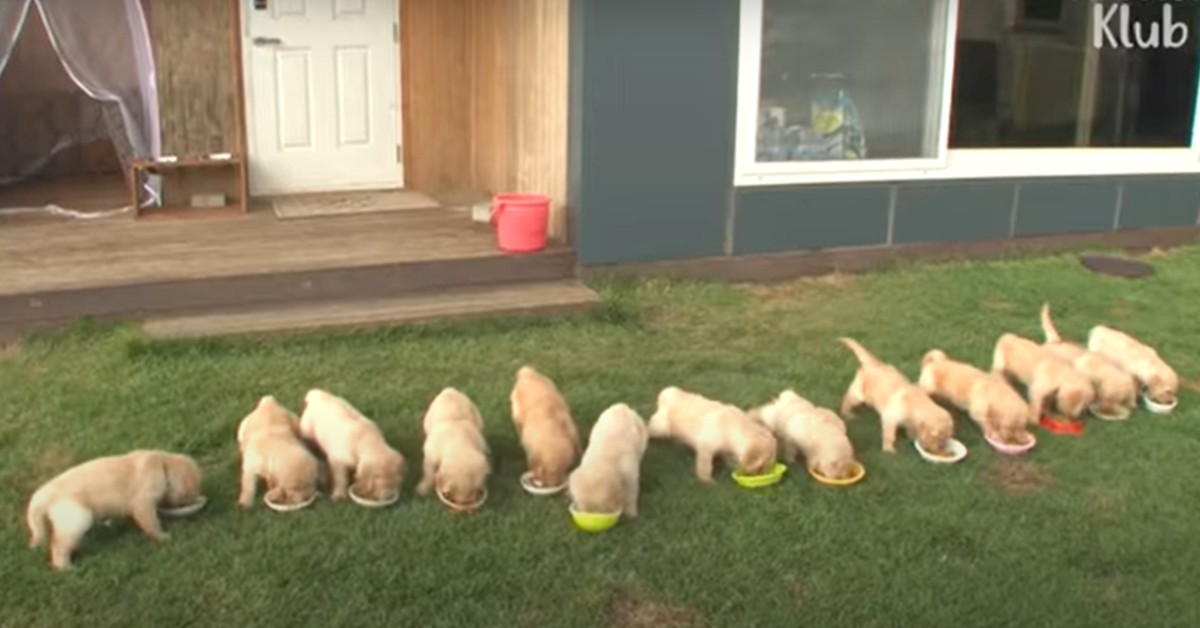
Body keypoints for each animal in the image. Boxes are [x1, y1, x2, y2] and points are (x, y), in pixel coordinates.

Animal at [25, 449, 202, 571]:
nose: (198, 497)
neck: (160, 464)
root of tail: (42, 494)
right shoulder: (143, 503)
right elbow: (151, 523)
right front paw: (163, 538)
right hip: (78, 517)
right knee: (58, 546)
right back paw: (67, 568)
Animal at [648, 386, 777, 485]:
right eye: (762, 466)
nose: (754, 475)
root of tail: (669, 393)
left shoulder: (726, 450)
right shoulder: (706, 448)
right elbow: (705, 467)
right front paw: (708, 482)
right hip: (661, 428)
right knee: (650, 428)